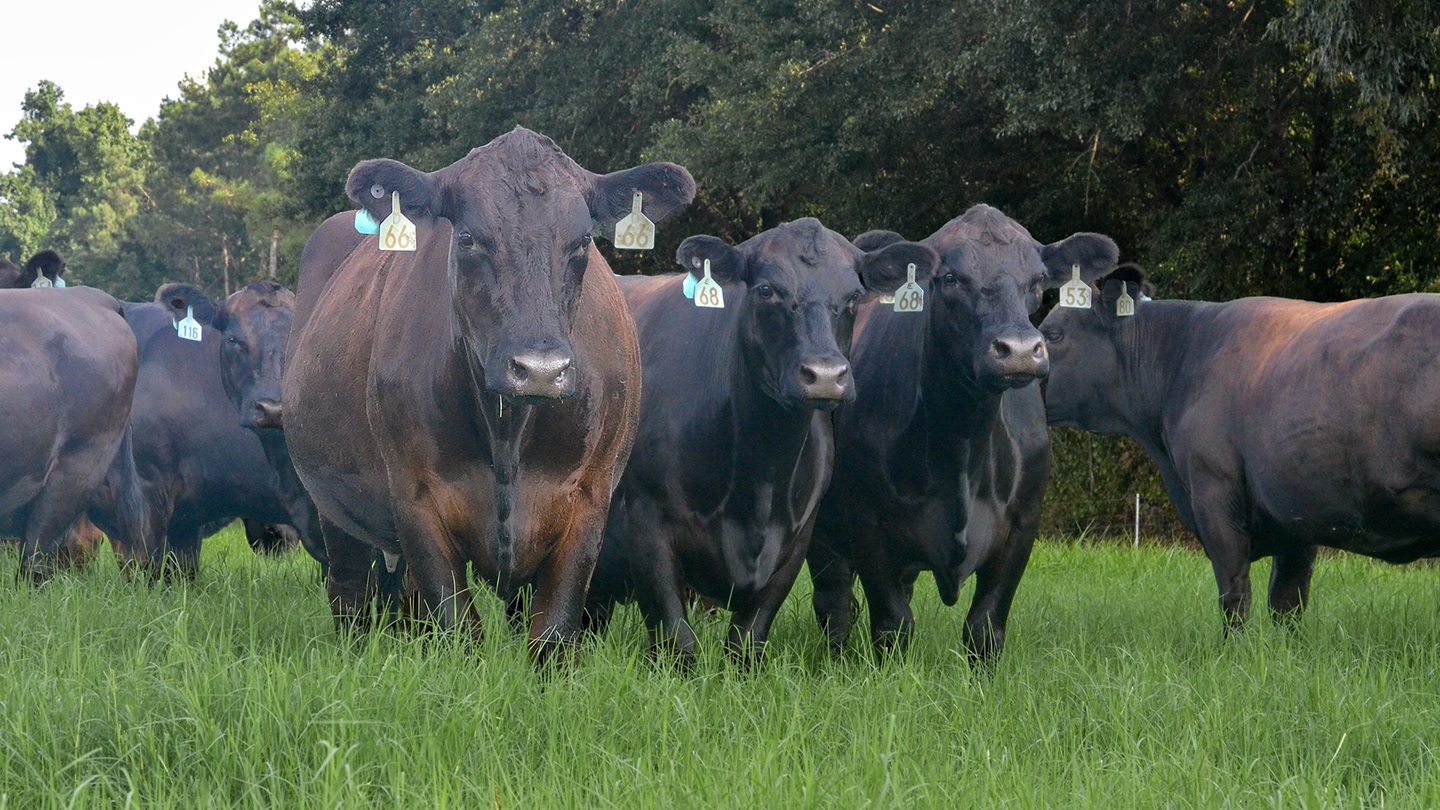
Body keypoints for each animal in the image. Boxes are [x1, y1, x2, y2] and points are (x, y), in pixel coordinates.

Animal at [283, 126, 694, 665]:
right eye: (467, 237)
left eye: (584, 240)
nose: (539, 370)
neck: (508, 432)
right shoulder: (415, 498)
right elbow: (458, 629)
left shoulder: (590, 497)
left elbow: (553, 633)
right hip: (335, 511)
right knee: (350, 595)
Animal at [583, 219, 940, 666]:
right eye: (767, 289)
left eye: (855, 295)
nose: (825, 375)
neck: (759, 477)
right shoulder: (645, 523)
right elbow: (677, 638)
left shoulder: (795, 539)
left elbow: (748, 638)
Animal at [807, 205, 1118, 662]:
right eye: (951, 278)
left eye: (1037, 279)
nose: (1019, 350)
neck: (963, 445)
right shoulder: (868, 524)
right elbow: (892, 625)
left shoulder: (1023, 525)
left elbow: (985, 627)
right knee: (834, 603)